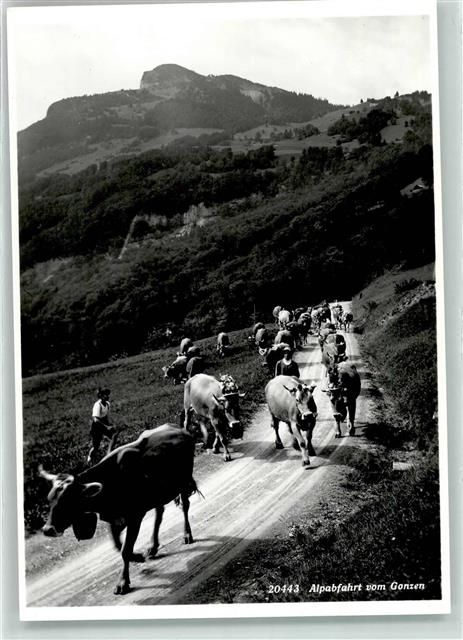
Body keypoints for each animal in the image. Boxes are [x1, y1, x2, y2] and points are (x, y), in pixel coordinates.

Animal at [39, 424, 198, 595]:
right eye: (49, 499)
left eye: (68, 501)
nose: (48, 530)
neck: (111, 480)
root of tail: (179, 429)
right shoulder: (114, 518)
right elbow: (118, 546)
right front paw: (137, 556)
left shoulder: (135, 516)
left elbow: (124, 550)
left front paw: (123, 582)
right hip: (158, 495)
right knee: (159, 514)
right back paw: (152, 547)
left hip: (184, 482)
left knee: (185, 507)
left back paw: (187, 534)